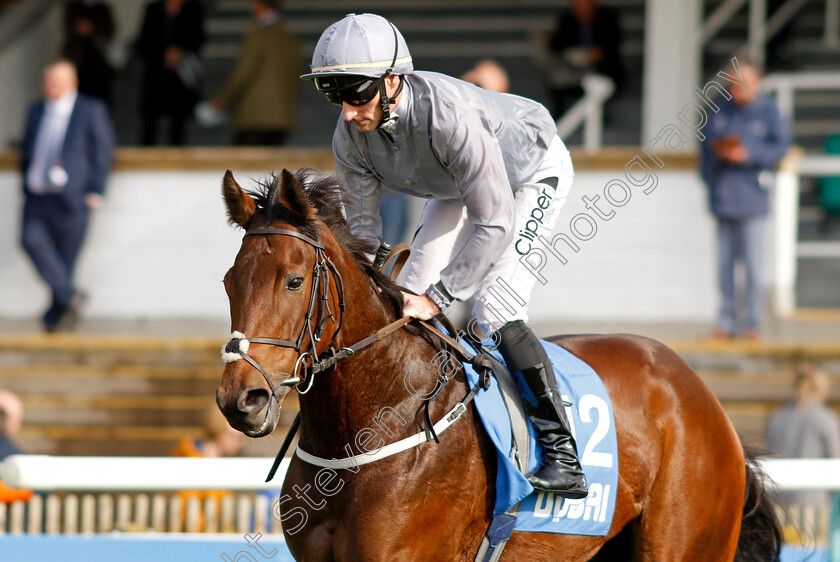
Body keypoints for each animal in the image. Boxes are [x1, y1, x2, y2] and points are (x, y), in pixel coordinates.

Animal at [215, 168, 780, 556]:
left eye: (294, 280)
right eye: (228, 281)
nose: (241, 398)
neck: (371, 425)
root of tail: (702, 395)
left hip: (687, 543)